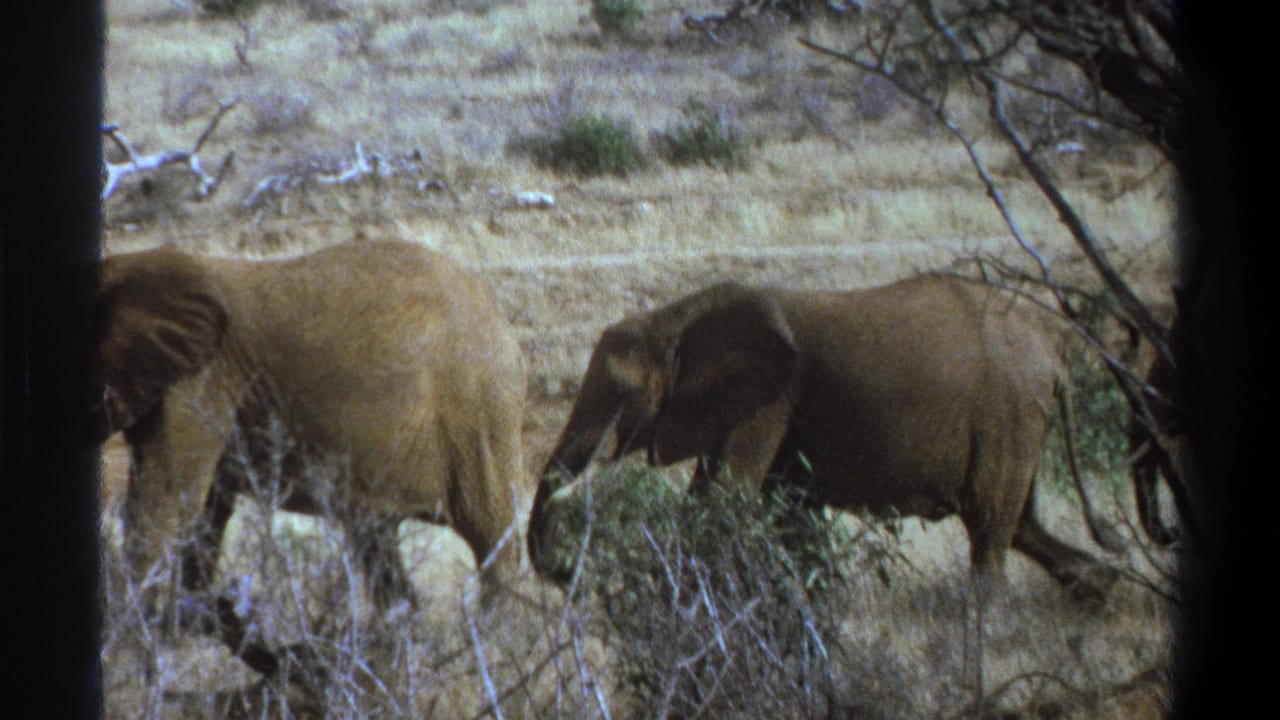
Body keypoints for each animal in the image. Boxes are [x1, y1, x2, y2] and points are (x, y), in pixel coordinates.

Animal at [97, 240, 526, 617]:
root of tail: (499, 318)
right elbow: (203, 512)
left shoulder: (199, 383)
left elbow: (164, 499)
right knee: (378, 542)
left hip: (478, 410)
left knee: (492, 539)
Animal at [527, 275, 1121, 600]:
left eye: (620, 394)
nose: (568, 571)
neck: (677, 318)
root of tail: (1056, 350)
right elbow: (778, 512)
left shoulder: (770, 400)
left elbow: (722, 500)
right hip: (1018, 418)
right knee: (1021, 526)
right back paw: (1100, 593)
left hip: (1008, 410)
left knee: (990, 531)